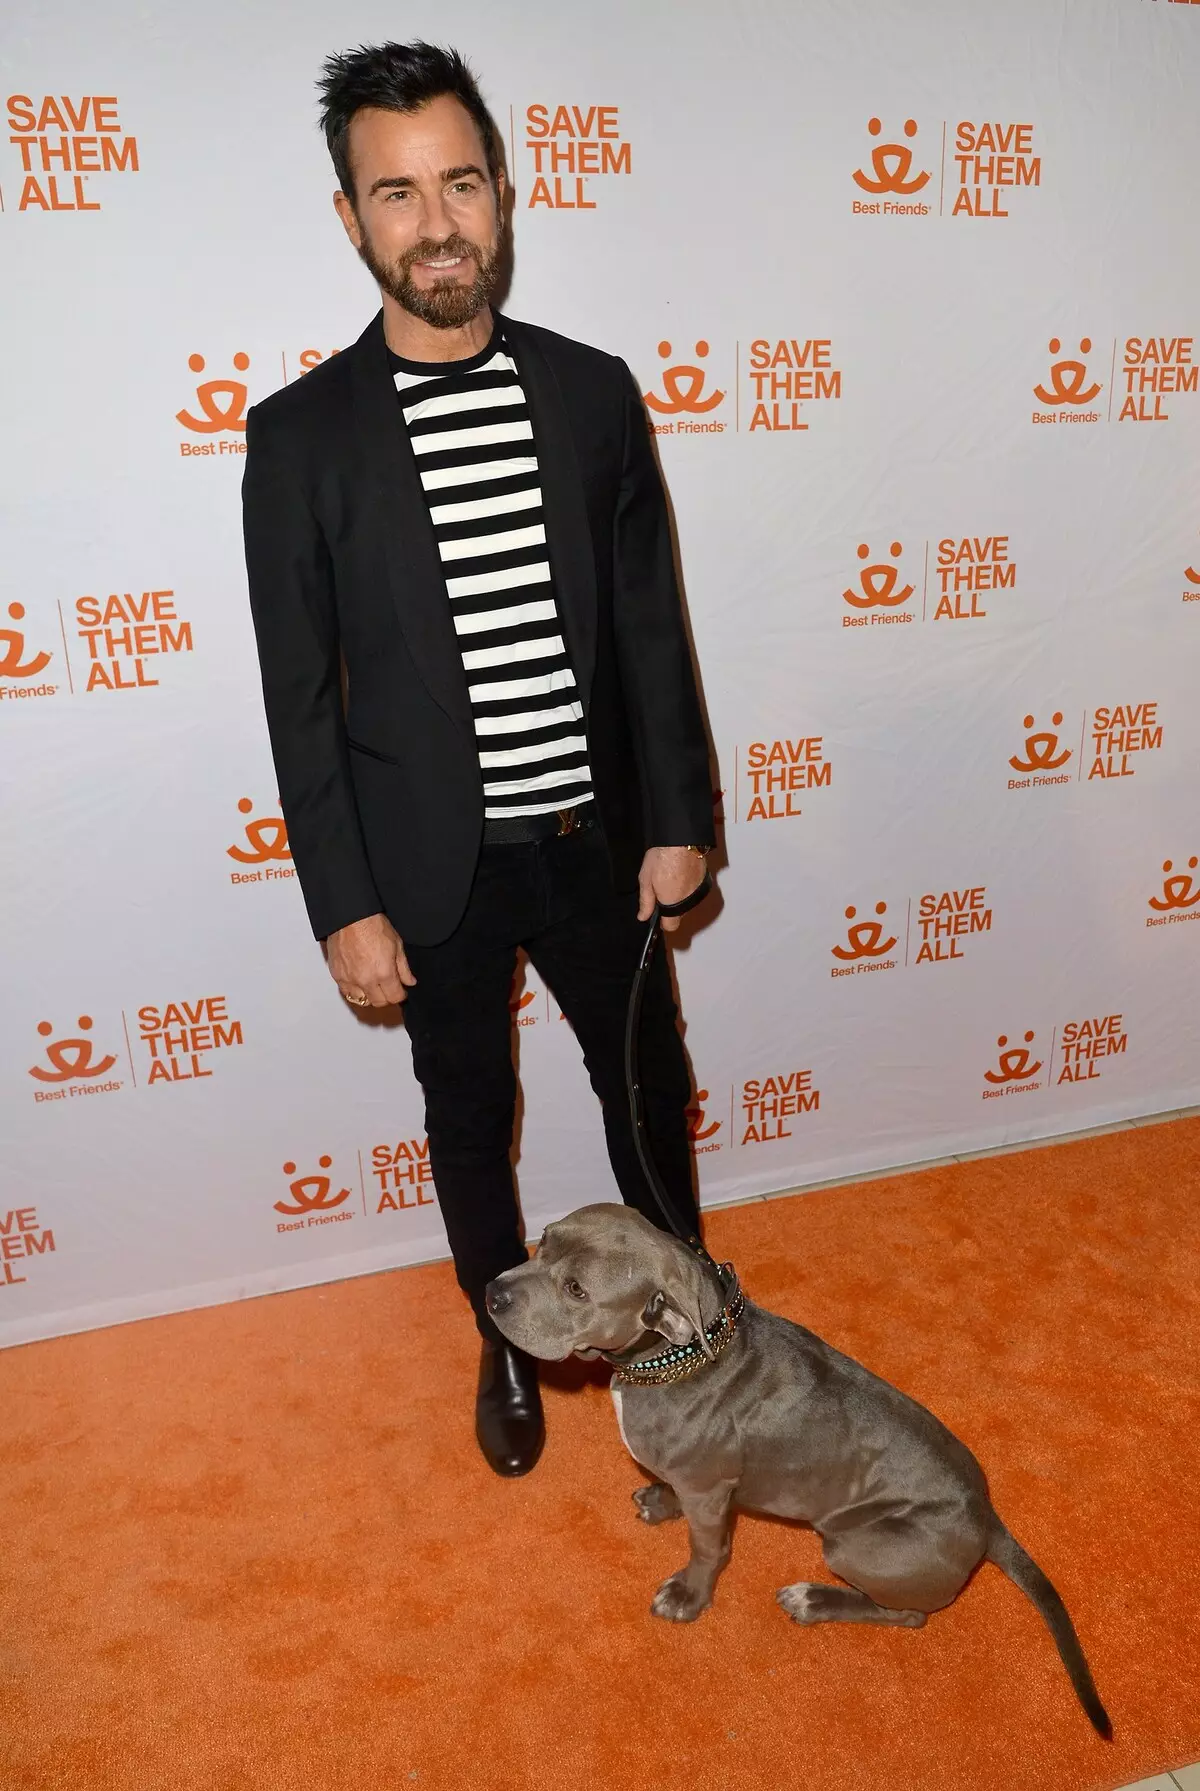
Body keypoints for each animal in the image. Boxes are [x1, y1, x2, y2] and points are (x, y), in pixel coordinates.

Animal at [483, 1203, 1117, 1733]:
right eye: (543, 1240)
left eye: (576, 1289)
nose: (492, 1293)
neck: (674, 1356)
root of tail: (987, 1517)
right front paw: (660, 1500)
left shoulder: (710, 1493)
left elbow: (707, 1549)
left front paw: (689, 1595)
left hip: (855, 1545)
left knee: (907, 1615)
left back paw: (816, 1601)